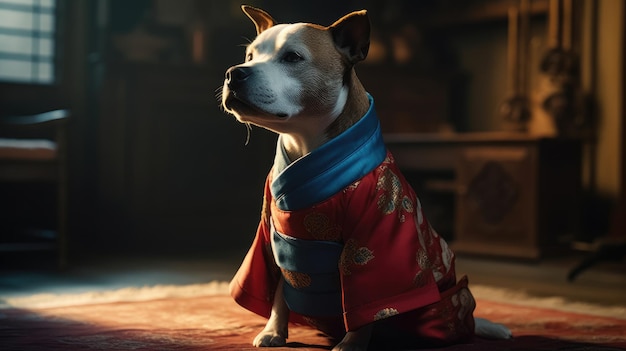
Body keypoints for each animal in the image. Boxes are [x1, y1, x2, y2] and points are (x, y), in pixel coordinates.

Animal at [219, 6, 508, 351]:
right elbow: (277, 288)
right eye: (250, 56)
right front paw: (274, 330)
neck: (307, 146)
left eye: (292, 58)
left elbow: (365, 303)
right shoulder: (270, 236)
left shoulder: (378, 230)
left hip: (441, 311)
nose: (234, 73)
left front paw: (352, 344)